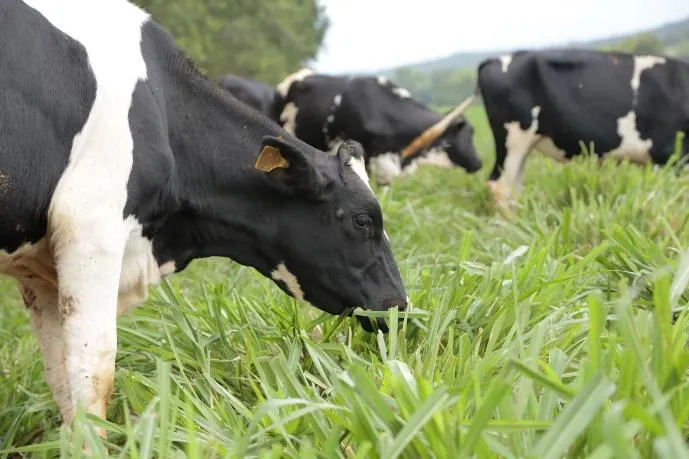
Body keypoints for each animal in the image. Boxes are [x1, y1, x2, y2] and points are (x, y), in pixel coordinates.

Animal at [1, 0, 407, 434]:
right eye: (363, 221)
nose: (400, 306)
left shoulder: (40, 269)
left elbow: (61, 377)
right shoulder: (91, 224)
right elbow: (93, 371)